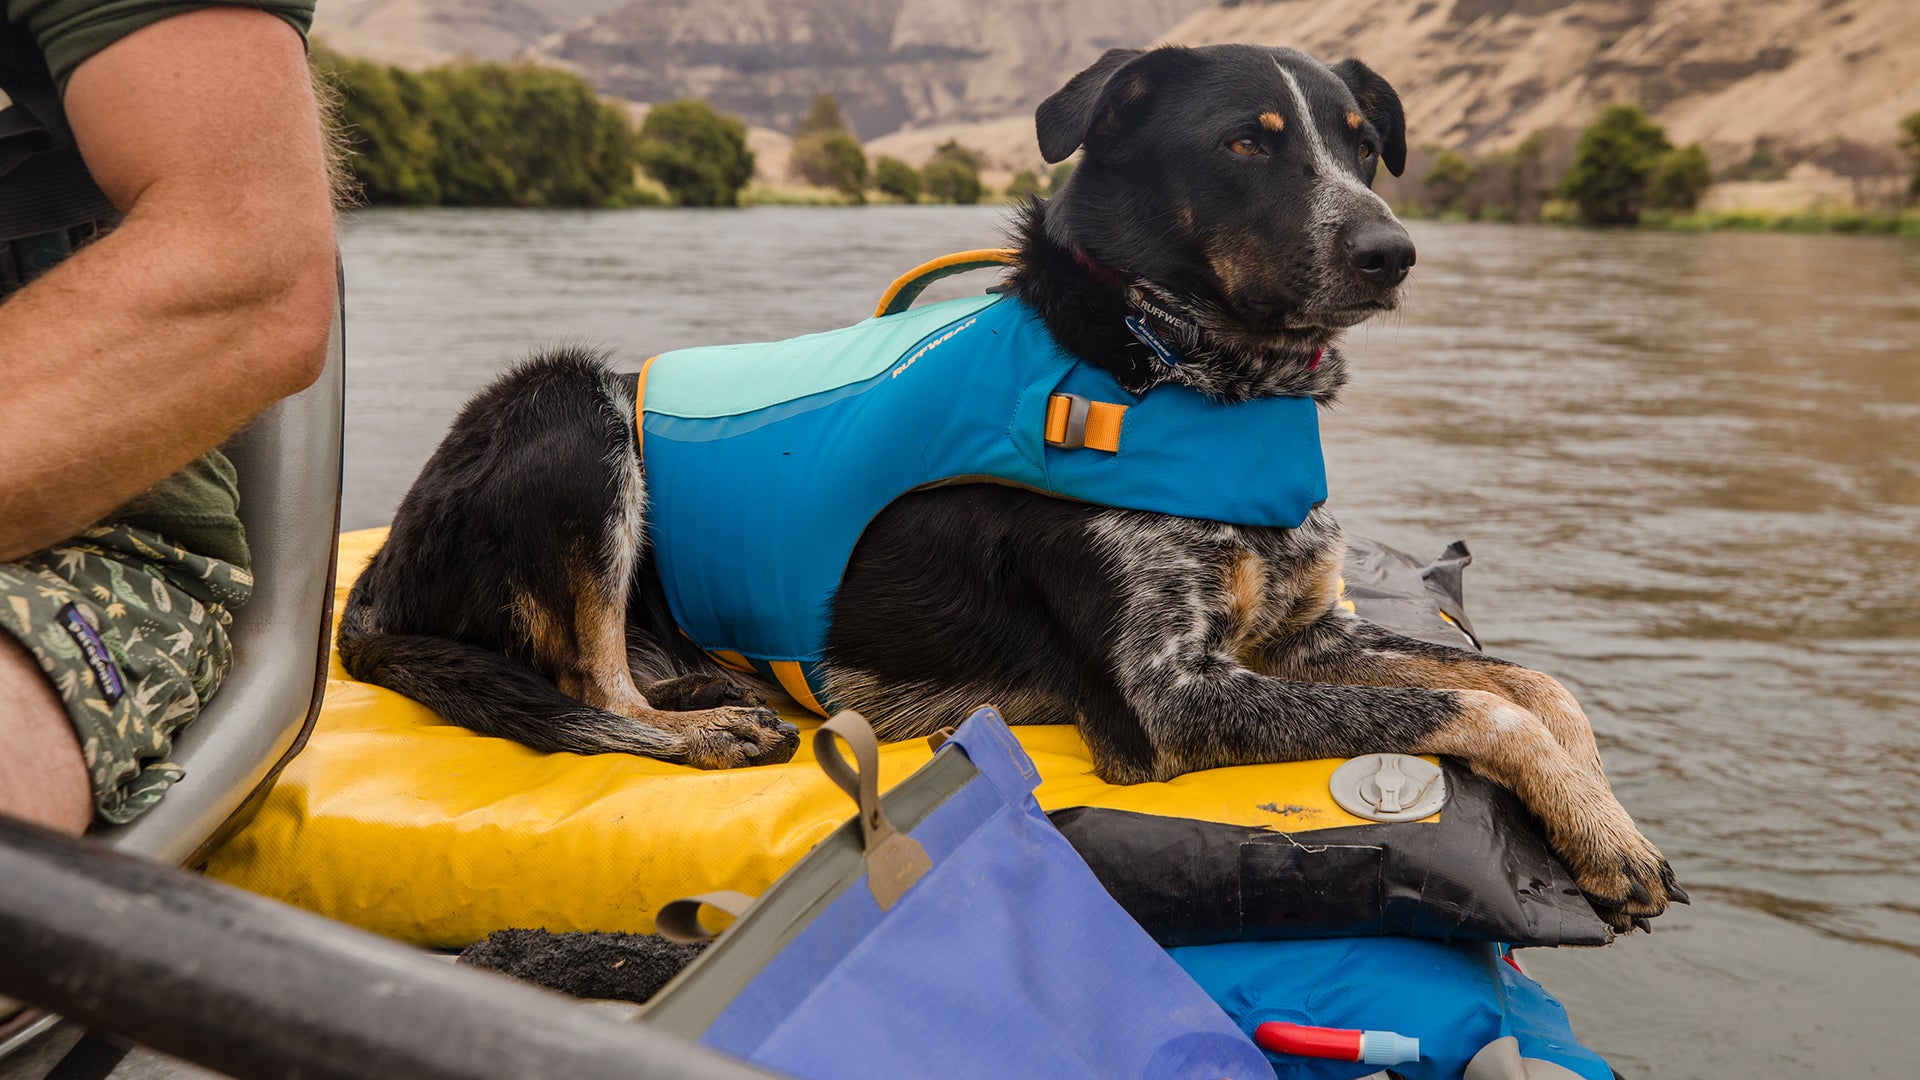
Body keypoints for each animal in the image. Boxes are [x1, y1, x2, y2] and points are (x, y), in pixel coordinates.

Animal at [341, 46, 1681, 930]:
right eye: (1247, 140)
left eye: (1361, 141)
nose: (1392, 251)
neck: (1169, 366)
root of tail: (378, 582)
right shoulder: (1166, 700)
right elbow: (1474, 710)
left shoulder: (1303, 639)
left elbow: (1533, 687)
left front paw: (1603, 825)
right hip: (569, 411)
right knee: (584, 681)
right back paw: (704, 722)